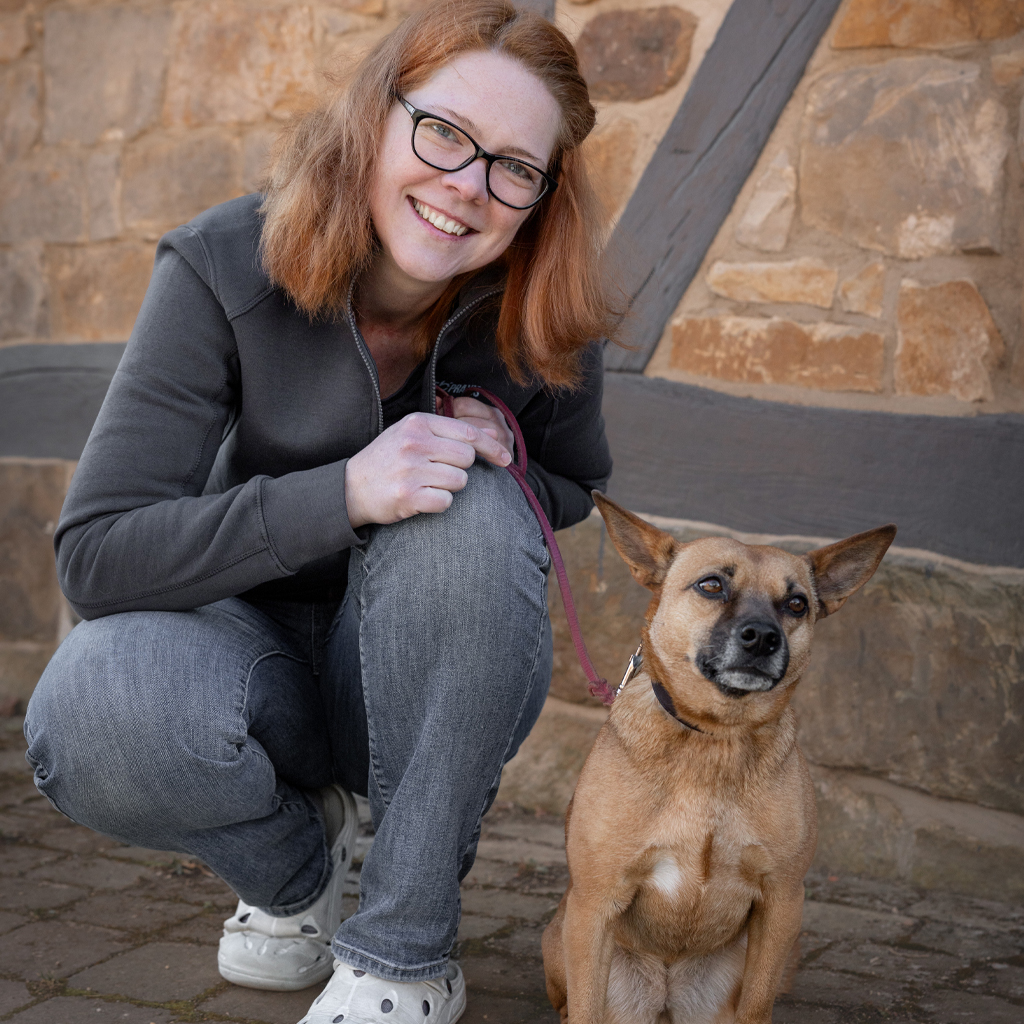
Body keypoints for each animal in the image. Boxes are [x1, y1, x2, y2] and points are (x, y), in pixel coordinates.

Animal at [542, 494, 896, 1024]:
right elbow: (585, 1009)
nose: (763, 637)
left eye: (797, 604)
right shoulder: (594, 904)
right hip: (567, 939)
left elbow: (756, 1006)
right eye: (711, 585)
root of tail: (666, 999)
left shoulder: (782, 904)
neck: (715, 738)